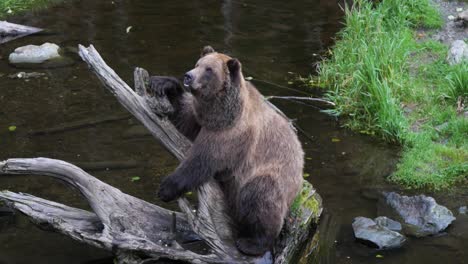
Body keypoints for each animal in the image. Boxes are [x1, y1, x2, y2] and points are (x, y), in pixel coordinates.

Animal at [154, 46, 304, 256]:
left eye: (209, 69)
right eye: (198, 64)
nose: (188, 76)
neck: (222, 113)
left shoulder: (232, 135)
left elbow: (202, 161)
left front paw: (166, 188)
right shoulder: (204, 119)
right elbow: (185, 118)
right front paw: (165, 84)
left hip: (276, 178)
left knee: (259, 196)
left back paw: (252, 243)